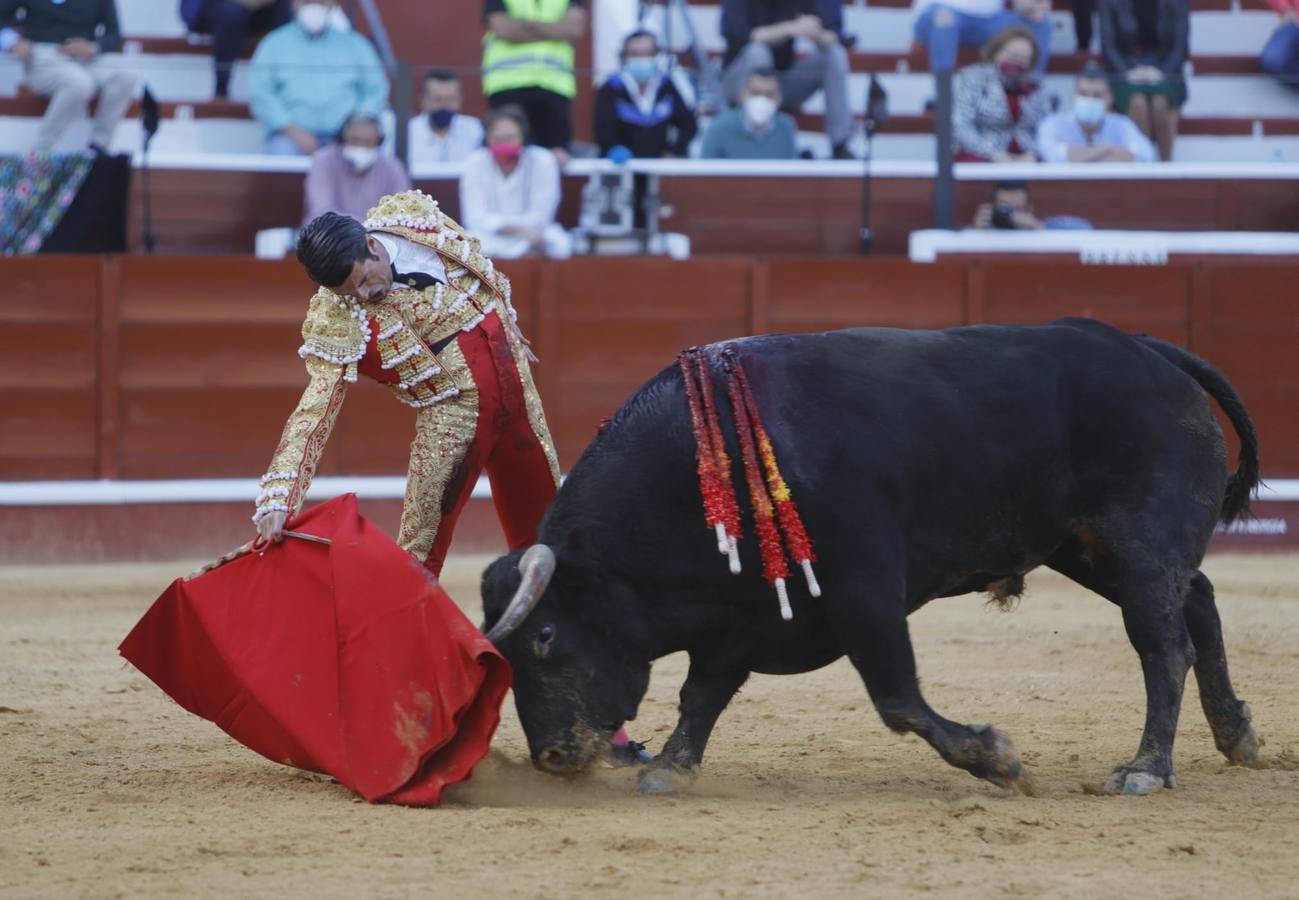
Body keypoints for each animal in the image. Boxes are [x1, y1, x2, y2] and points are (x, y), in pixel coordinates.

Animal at [480, 319, 1257, 794]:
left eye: (543, 636)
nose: (553, 758)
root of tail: (1146, 348)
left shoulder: (865, 593)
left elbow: (897, 699)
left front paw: (998, 760)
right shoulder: (740, 616)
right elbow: (702, 692)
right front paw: (671, 768)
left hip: (1138, 541)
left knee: (1163, 645)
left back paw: (1145, 768)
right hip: (1088, 548)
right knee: (1199, 603)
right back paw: (1236, 737)